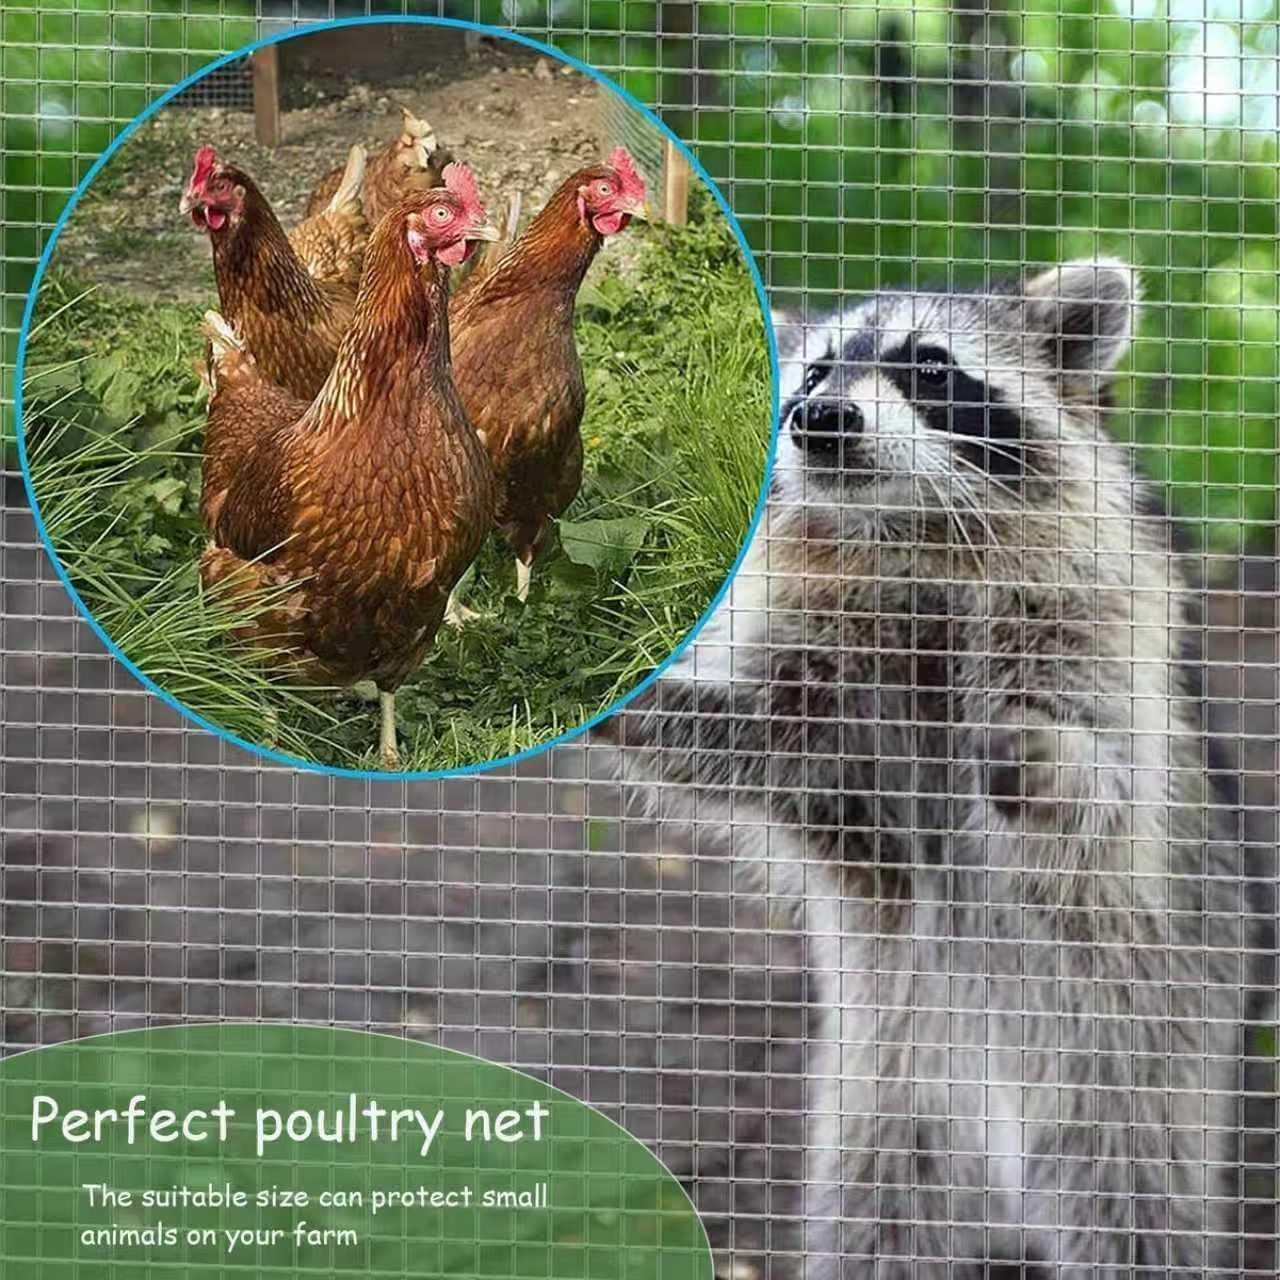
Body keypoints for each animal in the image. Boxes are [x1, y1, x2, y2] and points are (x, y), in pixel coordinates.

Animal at [606, 262, 1263, 1276]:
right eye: (812, 374)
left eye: (929, 367)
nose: (821, 418)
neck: (910, 534)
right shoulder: (829, 704)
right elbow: (769, 744)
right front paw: (638, 703)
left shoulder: (1101, 624)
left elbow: (1111, 787)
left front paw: (1042, 755)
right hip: (885, 1100)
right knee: (876, 1225)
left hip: (1143, 1066)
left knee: (1136, 1218)